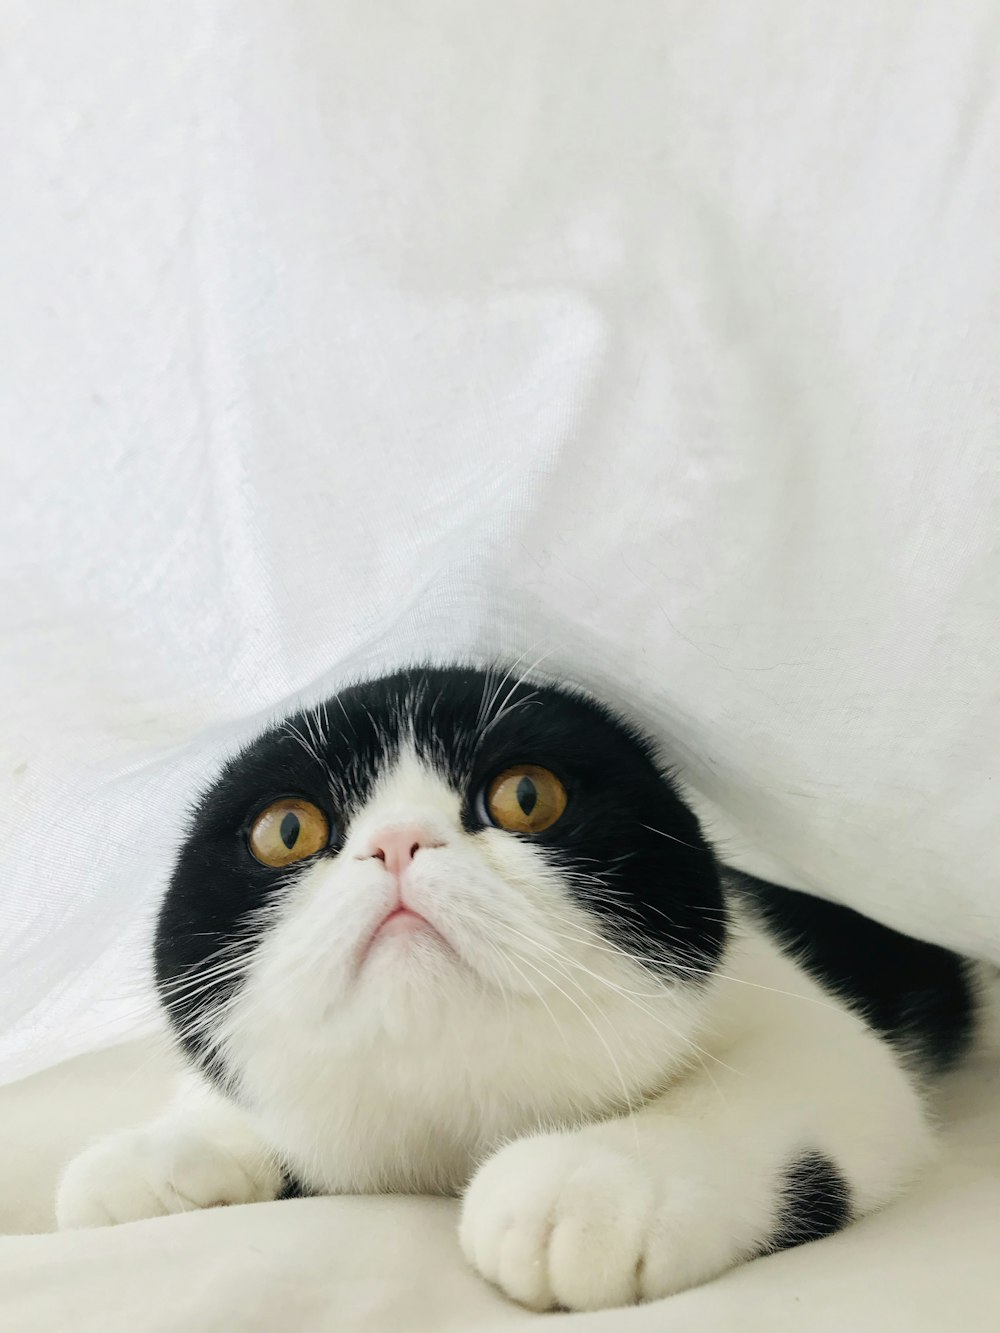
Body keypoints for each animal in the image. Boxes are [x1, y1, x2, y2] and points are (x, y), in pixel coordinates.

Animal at [56, 666, 986, 1311]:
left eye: (526, 795)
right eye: (287, 828)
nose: (398, 841)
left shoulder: (809, 1022)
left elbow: (792, 1068)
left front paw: (593, 1180)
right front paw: (160, 1153)